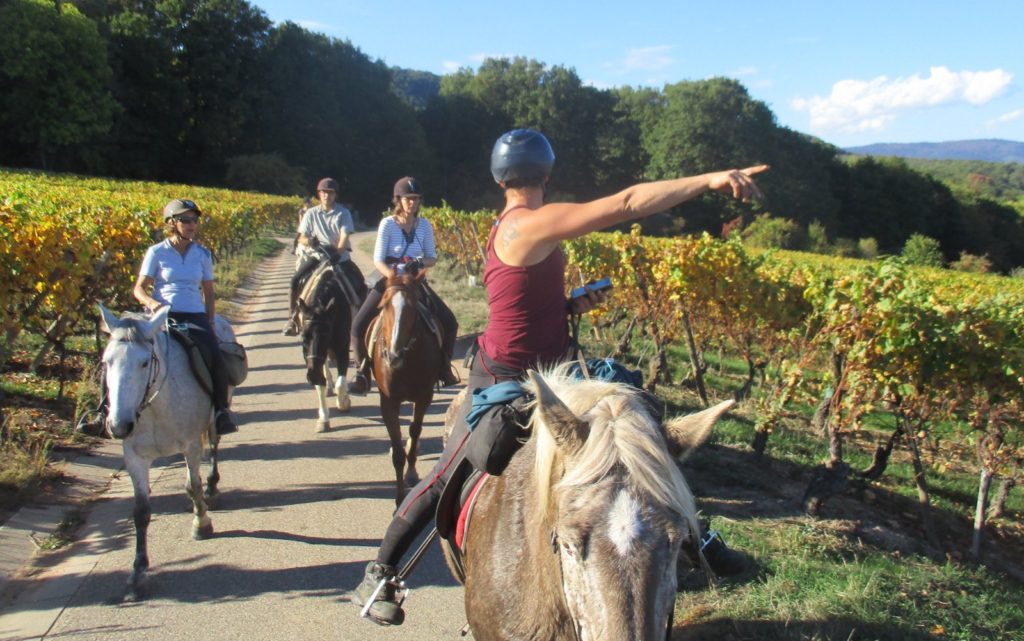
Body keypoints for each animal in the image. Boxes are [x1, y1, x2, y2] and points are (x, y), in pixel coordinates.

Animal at [97, 305, 230, 597]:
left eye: (145, 362)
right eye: (106, 362)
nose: (118, 425)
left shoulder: (190, 445)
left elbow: (193, 485)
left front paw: (202, 525)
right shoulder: (135, 458)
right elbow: (141, 512)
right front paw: (138, 573)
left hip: (213, 420)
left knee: (214, 446)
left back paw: (212, 487)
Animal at [296, 246, 364, 432]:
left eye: (325, 334)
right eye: (304, 336)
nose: (311, 375)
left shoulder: (342, 347)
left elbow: (341, 383)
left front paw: (344, 403)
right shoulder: (308, 355)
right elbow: (321, 382)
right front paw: (323, 419)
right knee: (324, 364)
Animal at [370, 266, 446, 501]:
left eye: (413, 307)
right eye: (384, 305)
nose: (393, 355)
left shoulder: (424, 396)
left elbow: (415, 430)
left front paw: (411, 472)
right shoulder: (387, 401)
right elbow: (397, 449)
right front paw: (399, 498)